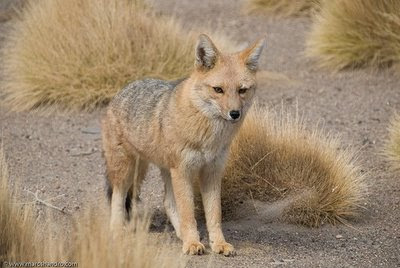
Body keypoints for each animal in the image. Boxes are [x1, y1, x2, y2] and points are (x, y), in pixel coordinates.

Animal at [102, 33, 266, 255]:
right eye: (218, 90)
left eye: (242, 90)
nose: (234, 113)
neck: (208, 136)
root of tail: (123, 89)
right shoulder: (183, 170)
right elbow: (188, 212)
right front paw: (192, 243)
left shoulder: (212, 172)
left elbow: (214, 214)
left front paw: (218, 243)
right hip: (127, 169)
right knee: (118, 197)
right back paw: (117, 231)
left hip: (164, 170)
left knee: (168, 202)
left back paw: (181, 234)